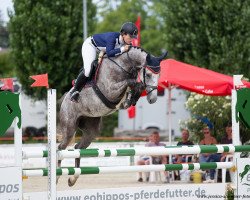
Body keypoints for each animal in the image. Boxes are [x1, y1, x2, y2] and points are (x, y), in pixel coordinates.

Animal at [56, 47, 166, 186]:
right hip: (69, 127)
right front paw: (131, 94)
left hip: (91, 130)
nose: (153, 99)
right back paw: (56, 176)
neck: (123, 65)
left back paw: (72, 179)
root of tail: (65, 98)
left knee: (78, 148)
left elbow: (137, 86)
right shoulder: (111, 90)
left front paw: (131, 99)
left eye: (159, 75)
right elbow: (131, 83)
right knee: (61, 148)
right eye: (148, 75)